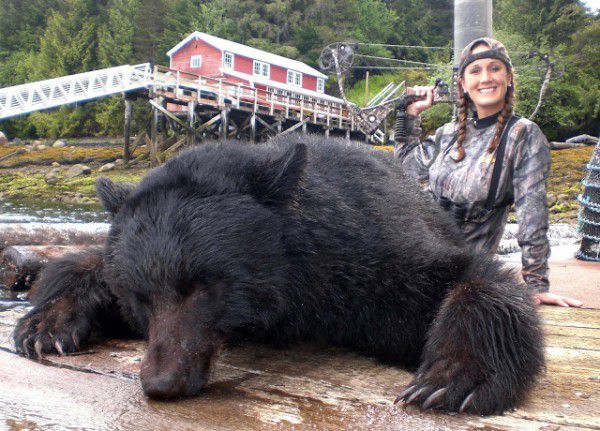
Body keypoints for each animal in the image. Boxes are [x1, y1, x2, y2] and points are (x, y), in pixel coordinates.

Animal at [11, 136, 544, 416]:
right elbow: (84, 262)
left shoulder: (373, 263)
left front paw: (451, 377)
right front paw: (46, 323)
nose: (160, 381)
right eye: (140, 298)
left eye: (201, 287)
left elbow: (474, 279)